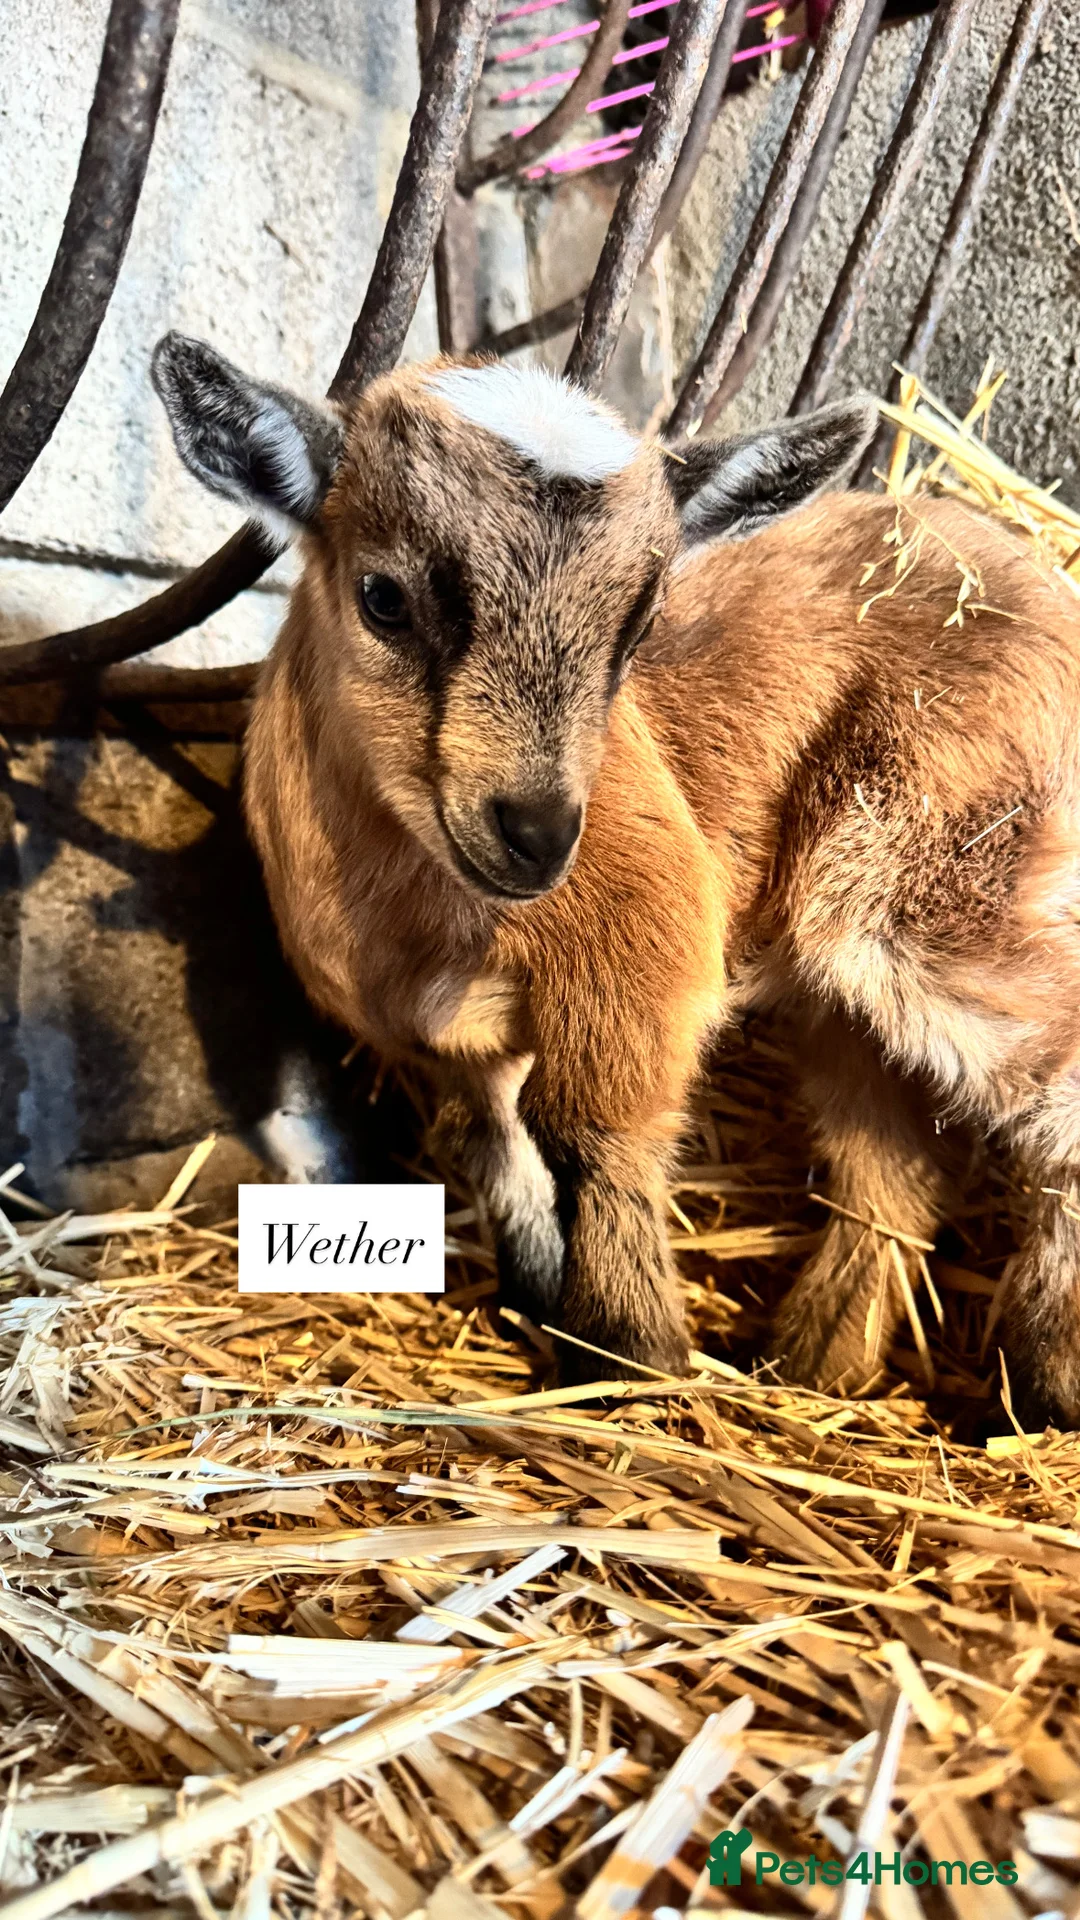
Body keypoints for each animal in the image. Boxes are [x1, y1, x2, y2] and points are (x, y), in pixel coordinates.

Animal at [153, 333, 1080, 1426]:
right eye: (384, 598)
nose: (539, 834)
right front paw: (550, 1318)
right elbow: (497, 1153)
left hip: (932, 877)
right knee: (888, 1164)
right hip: (848, 984)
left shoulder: (642, 944)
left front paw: (631, 1362)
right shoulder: (449, 1044)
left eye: (638, 630)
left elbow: (591, 1135)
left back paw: (1047, 1379)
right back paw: (815, 1367)